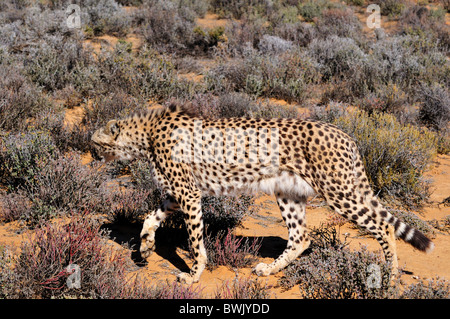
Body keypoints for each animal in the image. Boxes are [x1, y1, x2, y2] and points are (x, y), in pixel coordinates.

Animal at [92, 105, 436, 284]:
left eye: (95, 142)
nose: (91, 154)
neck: (146, 134)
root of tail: (345, 134)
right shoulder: (178, 194)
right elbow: (151, 217)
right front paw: (145, 246)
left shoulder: (189, 194)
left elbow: (194, 241)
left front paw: (193, 274)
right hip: (289, 192)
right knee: (301, 237)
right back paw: (269, 268)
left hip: (339, 192)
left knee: (383, 225)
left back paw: (389, 276)